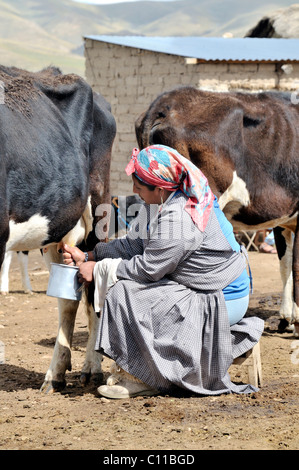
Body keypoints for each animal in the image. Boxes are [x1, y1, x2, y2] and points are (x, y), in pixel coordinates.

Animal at [0, 64, 116, 392]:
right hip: (57, 232)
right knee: (68, 299)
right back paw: (57, 373)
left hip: (97, 215)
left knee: (92, 288)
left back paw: (91, 367)